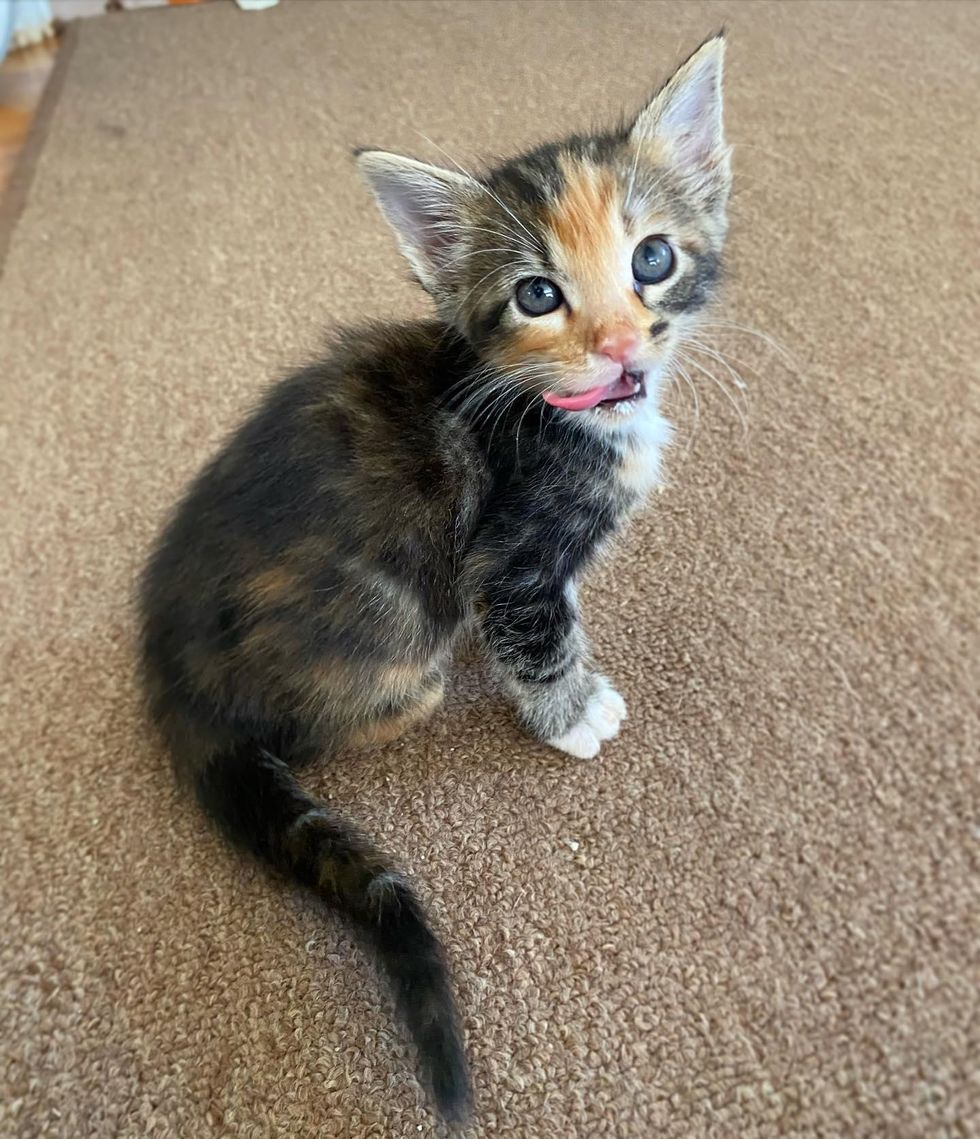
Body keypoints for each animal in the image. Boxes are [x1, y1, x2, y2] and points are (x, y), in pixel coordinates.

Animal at [141, 33, 729, 1120]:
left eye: (652, 258)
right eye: (537, 294)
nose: (620, 346)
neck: (563, 410)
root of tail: (168, 678)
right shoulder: (511, 557)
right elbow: (537, 634)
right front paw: (571, 710)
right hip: (390, 659)